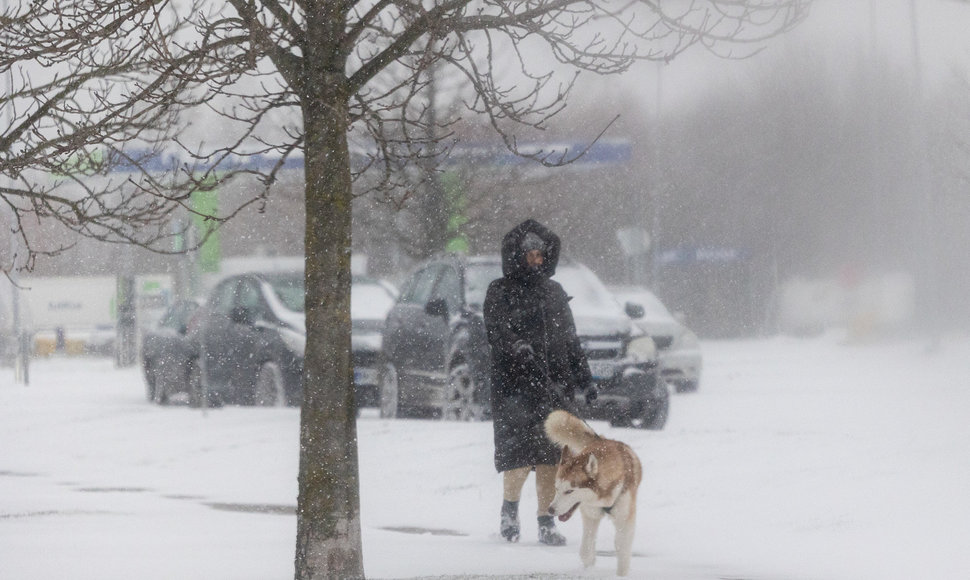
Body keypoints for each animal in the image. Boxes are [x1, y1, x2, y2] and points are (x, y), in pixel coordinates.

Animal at [544, 408, 644, 576]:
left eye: (569, 491)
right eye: (557, 488)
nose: (550, 510)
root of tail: (601, 439)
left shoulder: (625, 519)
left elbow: (622, 549)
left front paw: (621, 574)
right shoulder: (591, 515)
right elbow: (586, 550)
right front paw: (589, 568)